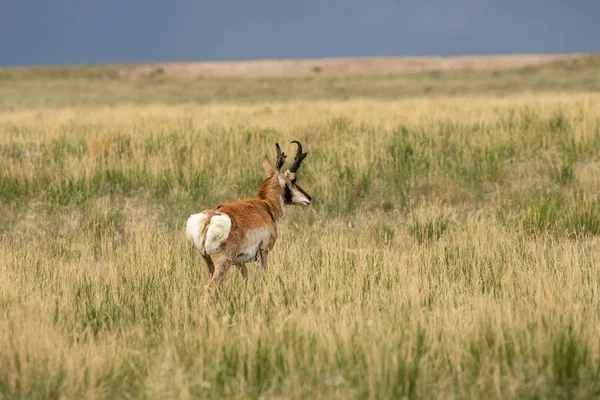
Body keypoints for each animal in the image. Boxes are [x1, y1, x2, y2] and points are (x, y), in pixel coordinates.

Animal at [185, 141, 312, 300]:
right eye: (293, 180)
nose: (309, 198)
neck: (266, 206)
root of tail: (209, 219)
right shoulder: (263, 252)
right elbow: (261, 278)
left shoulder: (239, 263)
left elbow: (246, 280)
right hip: (223, 263)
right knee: (210, 288)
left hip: (207, 261)